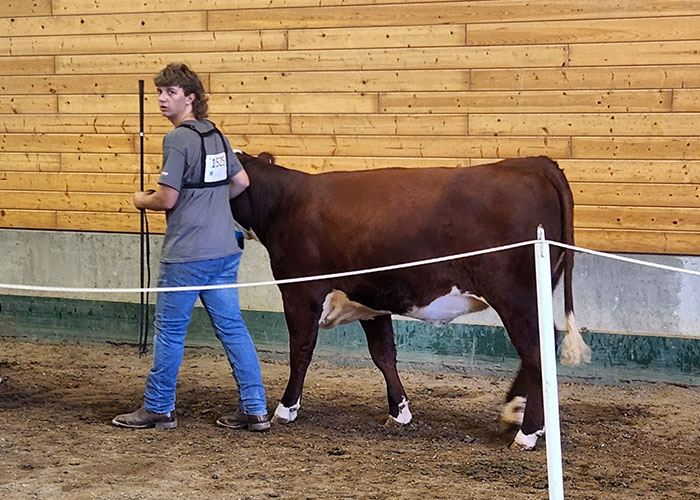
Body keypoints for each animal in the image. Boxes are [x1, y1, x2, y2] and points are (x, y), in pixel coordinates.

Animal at [231, 151, 592, 450]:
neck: (285, 202)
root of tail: (533, 162)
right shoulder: (371, 298)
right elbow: (384, 355)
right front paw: (399, 411)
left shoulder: (300, 292)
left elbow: (300, 352)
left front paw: (285, 409)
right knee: (538, 349)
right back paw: (514, 412)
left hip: (515, 296)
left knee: (535, 353)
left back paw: (527, 434)